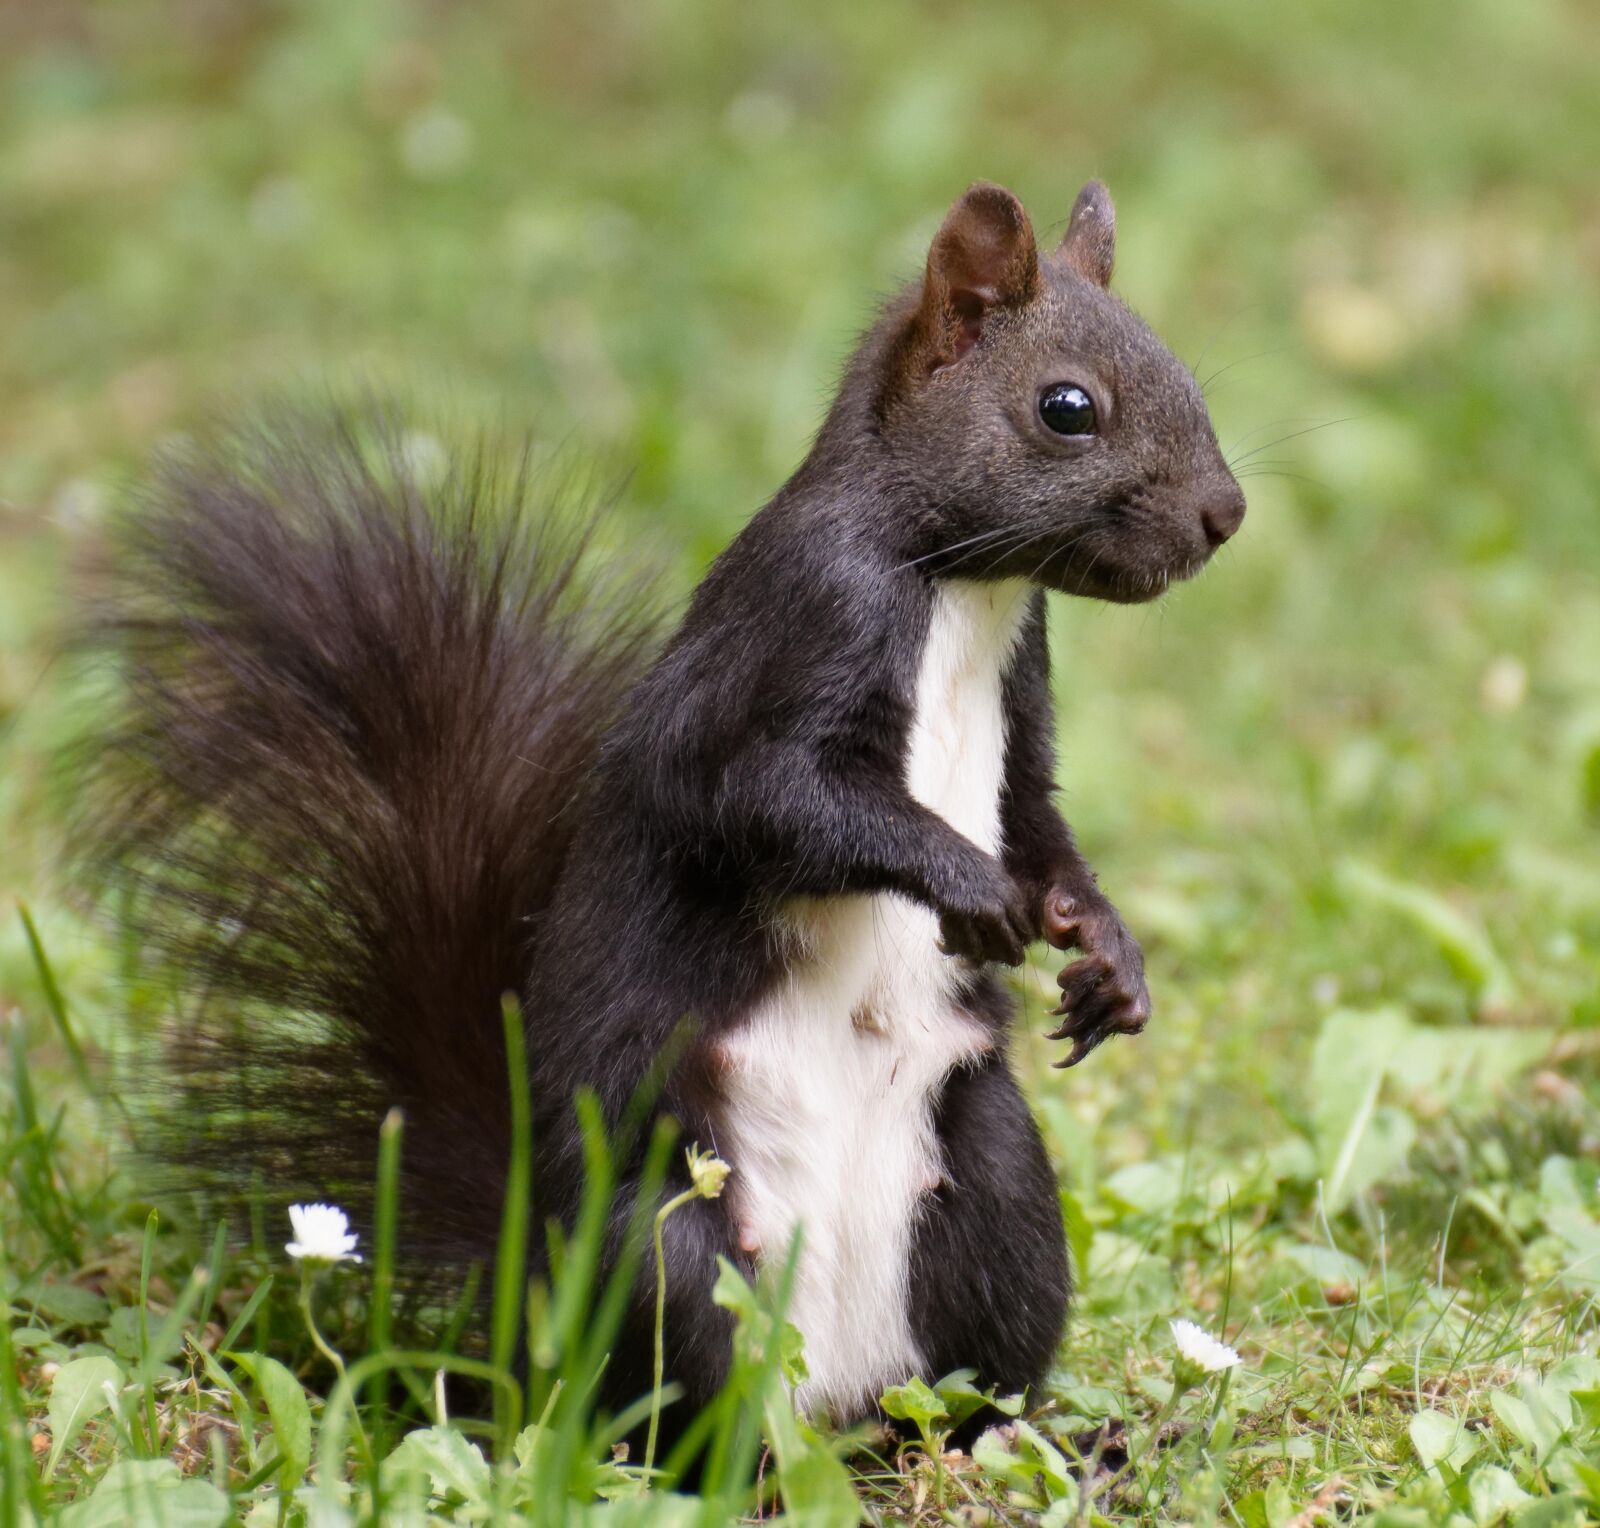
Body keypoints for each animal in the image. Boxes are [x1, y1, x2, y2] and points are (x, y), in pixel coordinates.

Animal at [82, 179, 1245, 1434]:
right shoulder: (796, 636)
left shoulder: (1020, 705)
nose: (1224, 515)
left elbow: (1040, 829)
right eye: (1066, 408)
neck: (958, 589)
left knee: (967, 1369)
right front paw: (971, 889)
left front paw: (1108, 953)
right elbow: (776, 803)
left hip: (998, 1189)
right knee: (679, 1395)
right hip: (662, 1244)